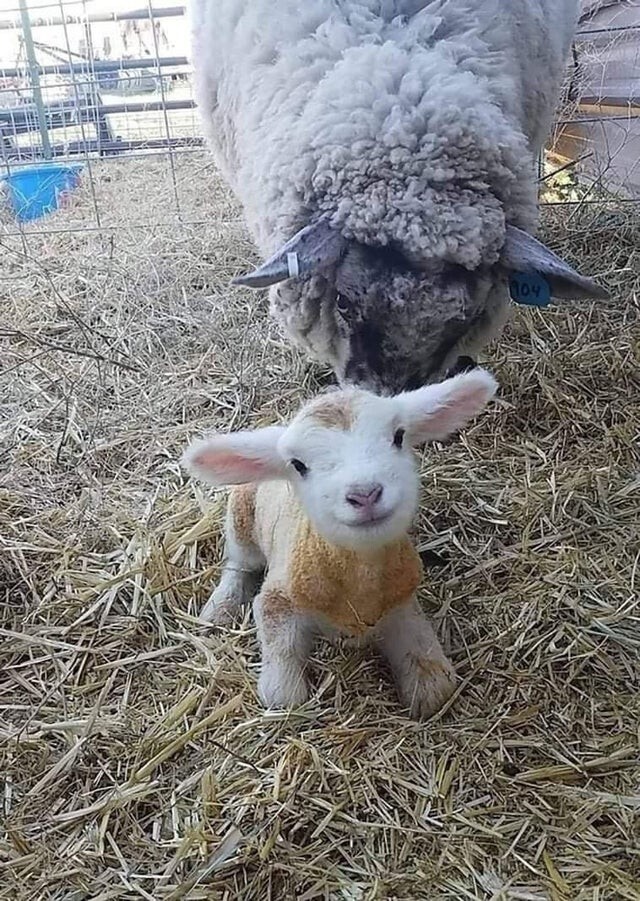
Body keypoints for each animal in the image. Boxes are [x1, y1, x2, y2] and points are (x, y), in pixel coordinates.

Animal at [182, 366, 498, 716]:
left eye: (398, 436)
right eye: (298, 465)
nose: (365, 494)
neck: (359, 580)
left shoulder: (401, 601)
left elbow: (435, 682)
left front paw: (425, 685)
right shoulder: (278, 600)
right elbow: (283, 694)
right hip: (241, 516)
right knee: (239, 563)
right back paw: (220, 607)